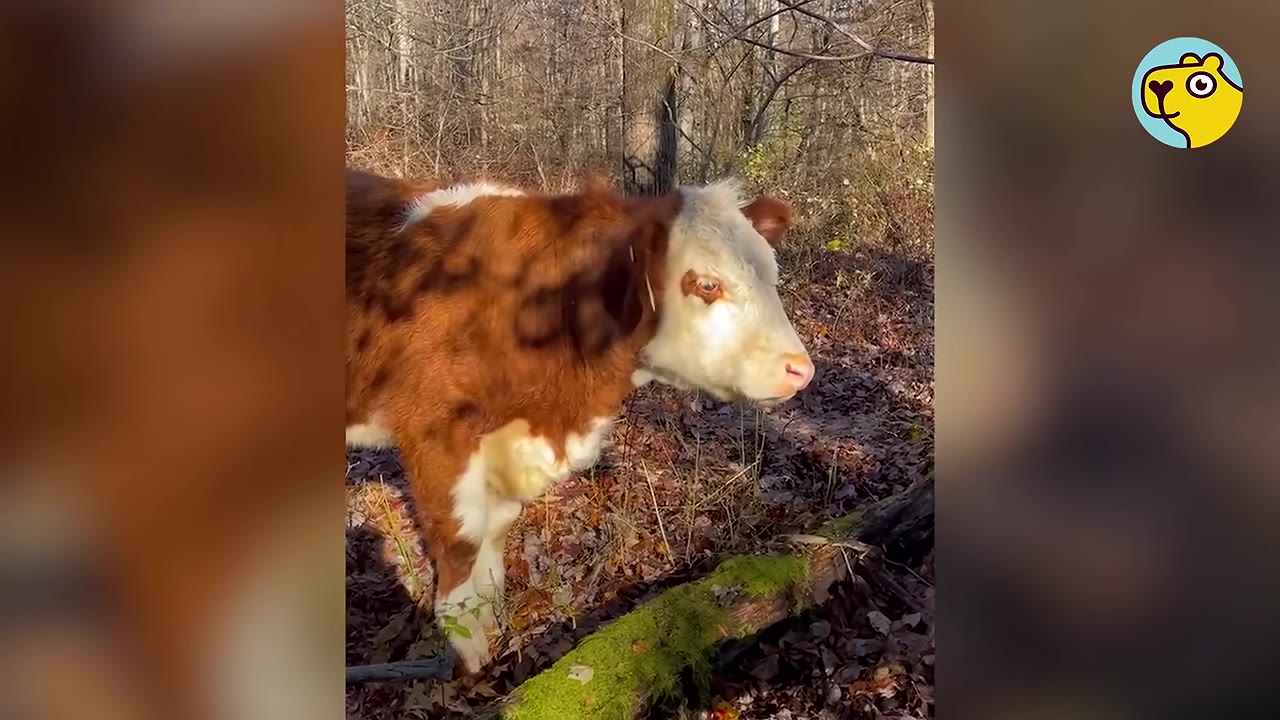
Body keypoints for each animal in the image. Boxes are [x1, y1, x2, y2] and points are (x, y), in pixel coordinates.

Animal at [345, 168, 815, 673]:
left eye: (772, 276)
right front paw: (468, 650)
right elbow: (461, 539)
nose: (801, 369)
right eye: (707, 285)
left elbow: (497, 529)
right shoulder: (435, 432)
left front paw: (494, 615)